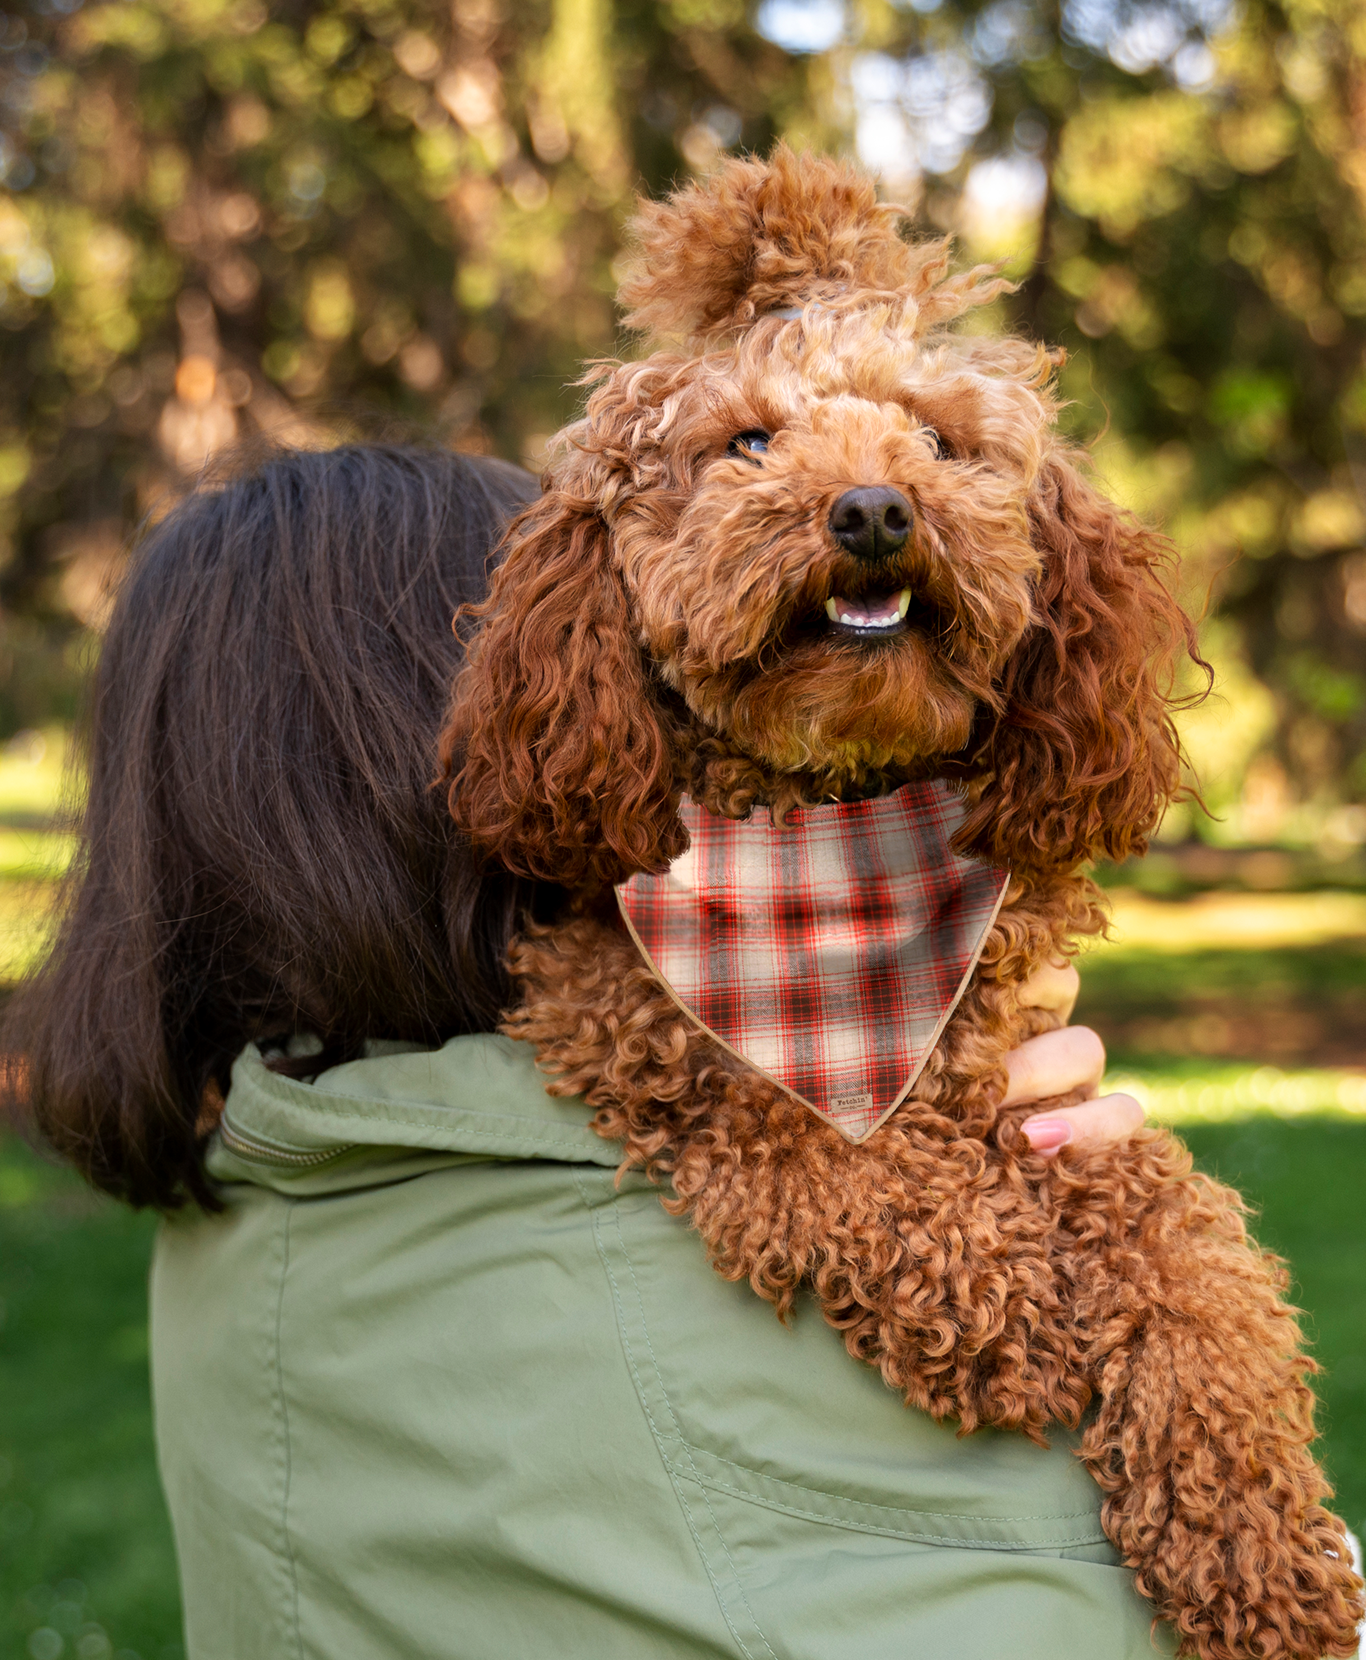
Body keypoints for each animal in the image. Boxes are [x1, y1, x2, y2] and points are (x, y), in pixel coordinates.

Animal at [441, 149, 1366, 1653]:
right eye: (744, 444)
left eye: (936, 439)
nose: (873, 509)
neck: (834, 851)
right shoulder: (624, 1021)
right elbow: (803, 1136)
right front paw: (1002, 1305)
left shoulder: (1048, 1096)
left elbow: (1188, 1251)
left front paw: (1264, 1555)